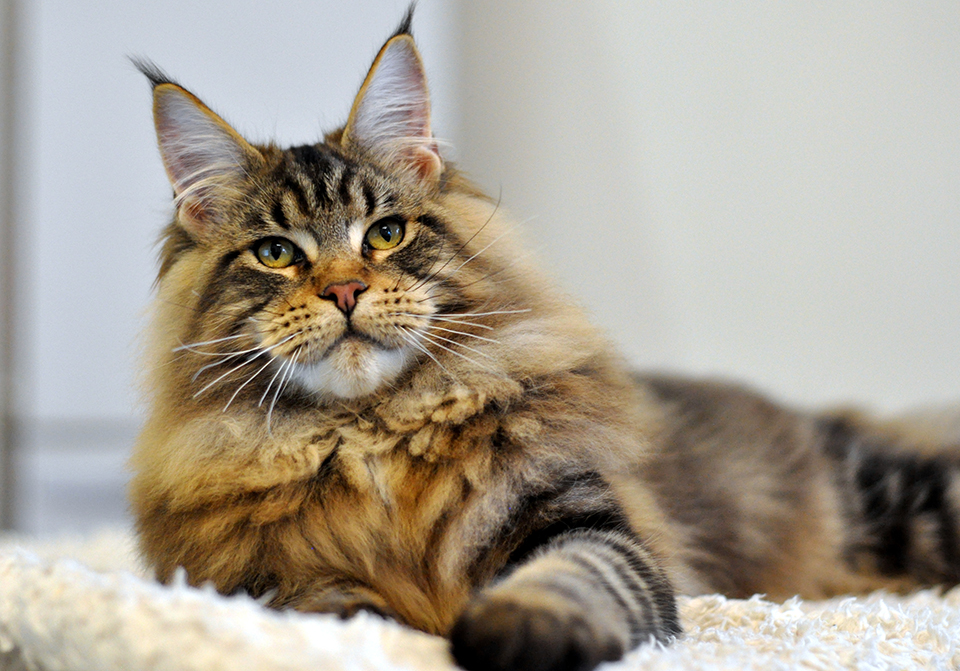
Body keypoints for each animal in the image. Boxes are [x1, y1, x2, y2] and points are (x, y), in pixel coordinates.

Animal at [129, 9, 960, 671]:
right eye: (276, 253)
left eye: (387, 234)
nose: (344, 291)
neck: (372, 438)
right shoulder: (261, 578)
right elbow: (325, 610)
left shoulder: (584, 519)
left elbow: (568, 580)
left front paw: (504, 632)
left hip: (898, 503)